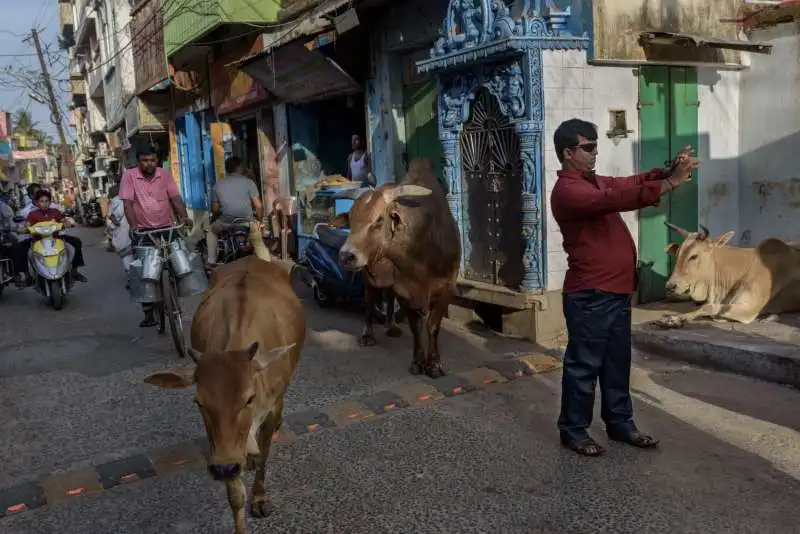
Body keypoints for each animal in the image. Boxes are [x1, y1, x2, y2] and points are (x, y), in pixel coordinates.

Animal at [144, 226, 306, 534]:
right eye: (199, 402)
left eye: (249, 397)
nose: (224, 469)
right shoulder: (220, 446)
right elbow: (235, 494)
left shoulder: (269, 410)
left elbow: (263, 455)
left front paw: (259, 497)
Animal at [328, 157, 460, 378]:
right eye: (351, 220)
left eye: (379, 220)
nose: (346, 256)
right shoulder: (404, 290)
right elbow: (415, 327)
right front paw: (418, 361)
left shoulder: (446, 287)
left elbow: (432, 326)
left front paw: (433, 364)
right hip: (369, 277)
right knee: (370, 301)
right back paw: (368, 334)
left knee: (388, 299)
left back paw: (391, 327)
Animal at [652, 220, 800, 328]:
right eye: (677, 254)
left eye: (693, 256)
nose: (670, 286)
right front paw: (674, 318)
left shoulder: (749, 308)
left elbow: (709, 307)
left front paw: (673, 320)